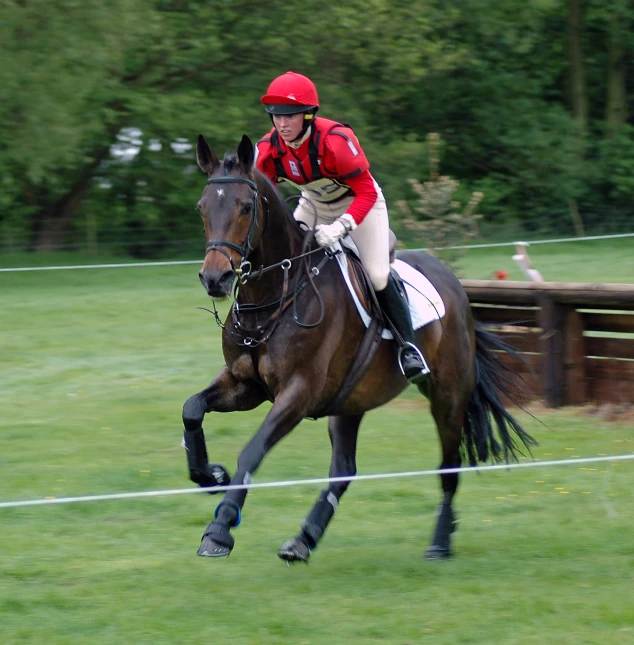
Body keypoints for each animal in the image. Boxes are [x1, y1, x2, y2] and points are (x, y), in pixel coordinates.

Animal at [183, 133, 532, 560]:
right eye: (202, 207)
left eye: (246, 208)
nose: (214, 279)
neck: (274, 294)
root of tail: (456, 287)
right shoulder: (244, 385)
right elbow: (192, 409)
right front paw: (210, 475)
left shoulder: (298, 393)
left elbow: (252, 450)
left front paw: (219, 530)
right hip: (350, 399)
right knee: (344, 469)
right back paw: (304, 538)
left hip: (448, 396)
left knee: (449, 465)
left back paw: (439, 543)